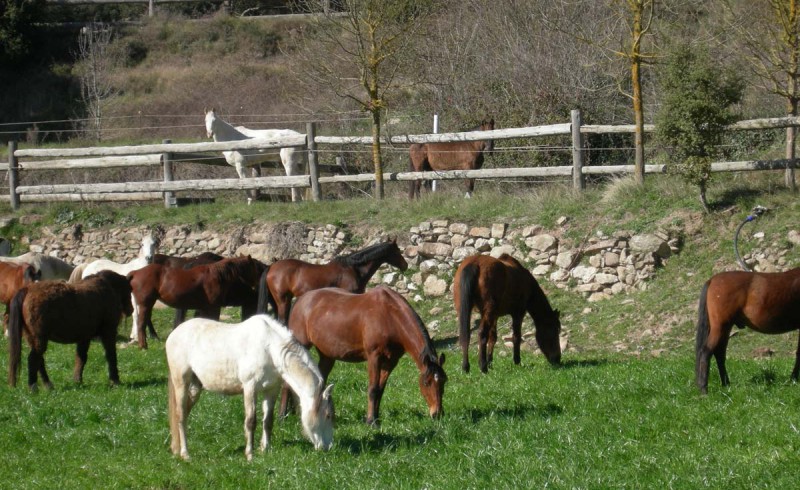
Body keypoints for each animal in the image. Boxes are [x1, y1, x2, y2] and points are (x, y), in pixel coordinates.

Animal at [126, 255, 268, 350]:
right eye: (255, 268)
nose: (257, 285)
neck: (217, 275)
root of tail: (135, 272)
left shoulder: (205, 308)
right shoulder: (213, 307)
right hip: (146, 304)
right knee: (141, 324)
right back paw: (143, 346)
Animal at [166, 314, 334, 460]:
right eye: (328, 415)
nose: (328, 447)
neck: (270, 348)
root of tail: (173, 334)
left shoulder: (271, 390)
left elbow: (268, 421)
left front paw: (265, 449)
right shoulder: (250, 388)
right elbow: (251, 421)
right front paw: (250, 454)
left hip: (195, 387)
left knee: (185, 412)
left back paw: (176, 449)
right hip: (181, 382)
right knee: (180, 415)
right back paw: (185, 454)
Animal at [284, 286, 446, 426]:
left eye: (444, 381)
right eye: (426, 382)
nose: (437, 414)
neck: (390, 316)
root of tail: (300, 301)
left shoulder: (390, 362)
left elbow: (380, 390)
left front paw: (377, 418)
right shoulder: (374, 357)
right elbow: (373, 389)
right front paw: (371, 421)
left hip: (327, 356)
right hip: (300, 345)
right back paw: (283, 415)